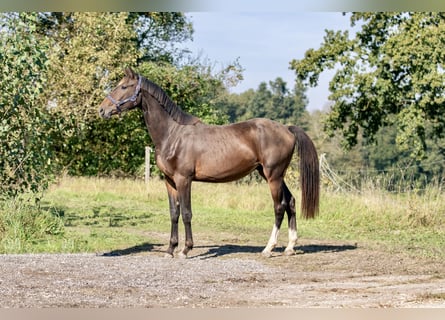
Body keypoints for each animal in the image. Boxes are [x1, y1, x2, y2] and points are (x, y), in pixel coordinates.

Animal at [98, 67, 318, 258]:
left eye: (124, 87)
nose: (102, 110)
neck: (172, 134)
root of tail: (287, 129)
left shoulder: (184, 180)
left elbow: (186, 213)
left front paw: (185, 250)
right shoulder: (169, 181)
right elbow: (174, 213)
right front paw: (170, 249)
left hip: (273, 176)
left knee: (279, 207)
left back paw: (268, 248)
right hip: (271, 174)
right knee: (290, 202)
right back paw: (290, 247)